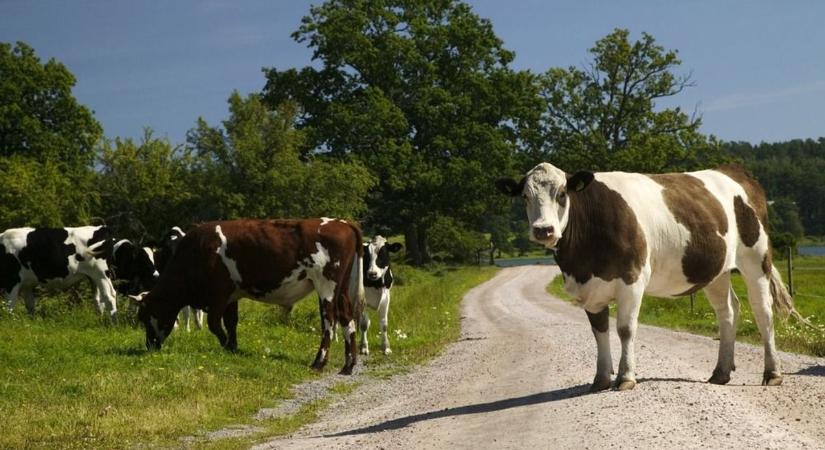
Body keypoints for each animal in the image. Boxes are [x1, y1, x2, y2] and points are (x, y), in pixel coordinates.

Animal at [131, 220, 364, 374]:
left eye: (145, 317)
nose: (150, 346)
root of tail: (341, 222)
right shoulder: (231, 296)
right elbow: (231, 322)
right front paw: (233, 347)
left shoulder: (219, 294)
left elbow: (214, 323)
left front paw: (226, 345)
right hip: (341, 288)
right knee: (347, 318)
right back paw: (348, 364)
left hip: (326, 285)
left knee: (329, 320)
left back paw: (319, 362)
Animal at [496, 163, 804, 390]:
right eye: (525, 196)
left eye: (562, 194)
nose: (543, 230)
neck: (582, 260)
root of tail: (733, 170)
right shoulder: (590, 289)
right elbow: (599, 332)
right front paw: (600, 379)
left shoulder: (632, 279)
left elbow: (625, 329)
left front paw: (625, 378)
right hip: (716, 270)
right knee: (727, 311)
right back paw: (720, 372)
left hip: (756, 258)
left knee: (763, 312)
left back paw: (772, 373)